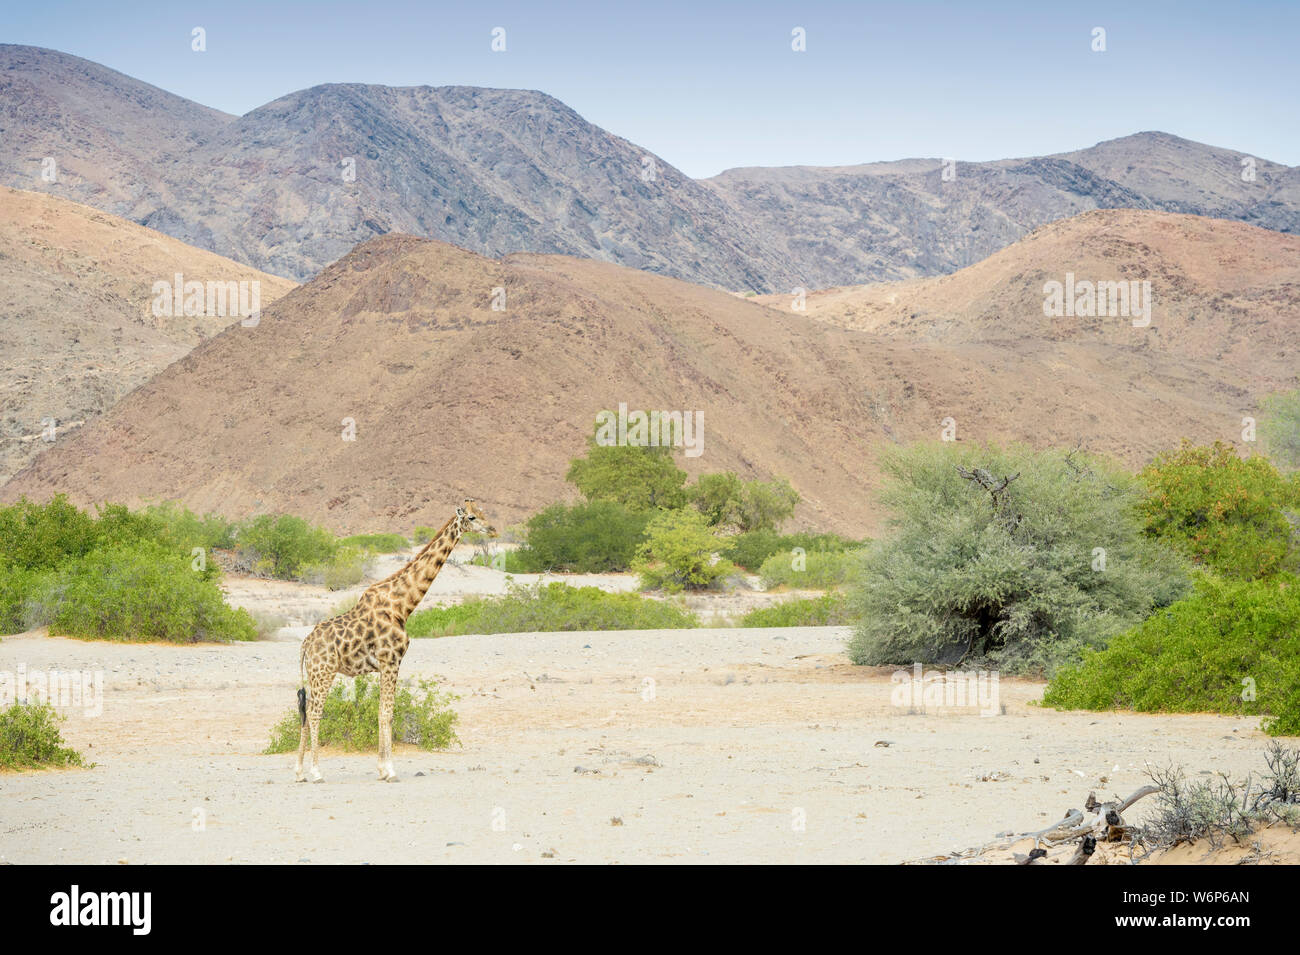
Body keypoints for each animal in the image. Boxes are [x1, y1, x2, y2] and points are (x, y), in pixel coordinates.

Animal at [295, 501, 496, 784]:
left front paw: (381, 770)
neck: (403, 605)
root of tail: (306, 644)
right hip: (324, 672)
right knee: (314, 713)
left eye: (483, 512)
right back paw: (316, 772)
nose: (493, 530)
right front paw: (390, 771)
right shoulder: (391, 660)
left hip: (314, 675)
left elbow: (382, 711)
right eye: (471, 517)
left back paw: (299, 772)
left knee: (304, 712)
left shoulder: (385, 664)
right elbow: (388, 713)